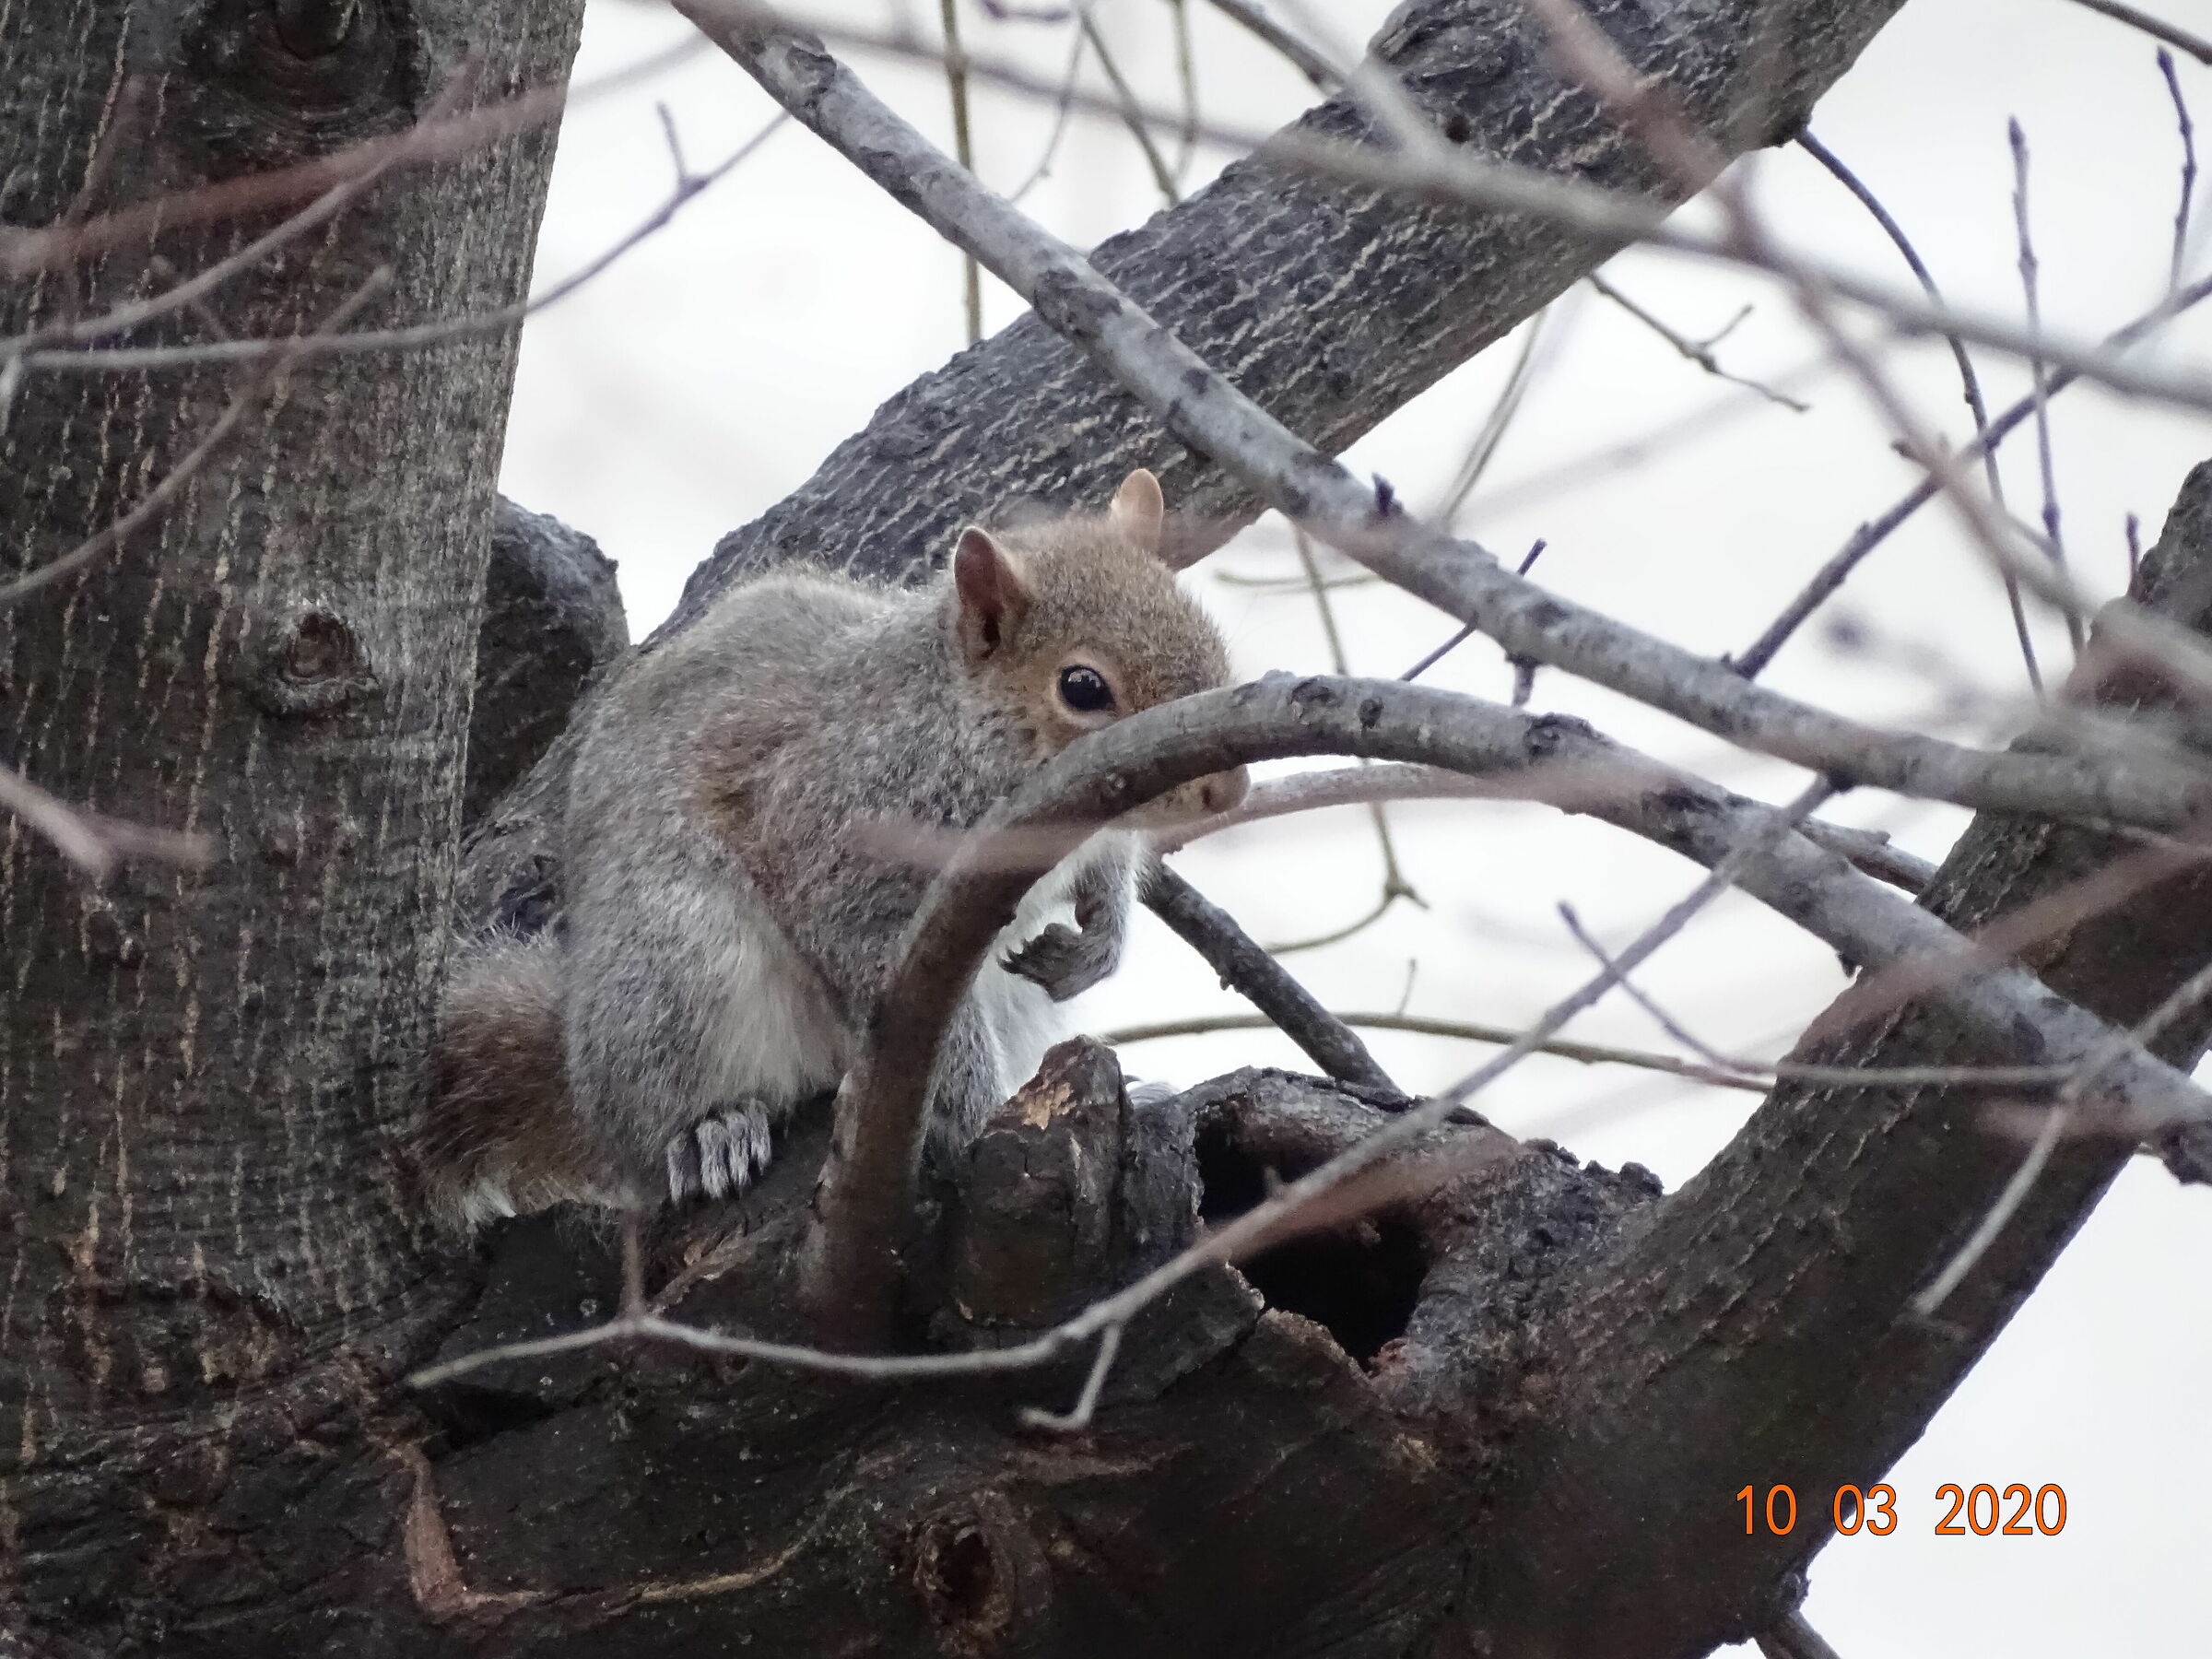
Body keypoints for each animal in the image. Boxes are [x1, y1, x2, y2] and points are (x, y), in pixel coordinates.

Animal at [423, 469, 1247, 1228]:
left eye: (1209, 636)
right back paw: (710, 1130)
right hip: (675, 968)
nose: (1230, 789)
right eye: (1082, 688)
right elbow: (894, 990)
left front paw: (1097, 942)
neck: (958, 727)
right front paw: (989, 1116)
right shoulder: (843, 842)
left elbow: (1110, 872)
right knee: (652, 1127)